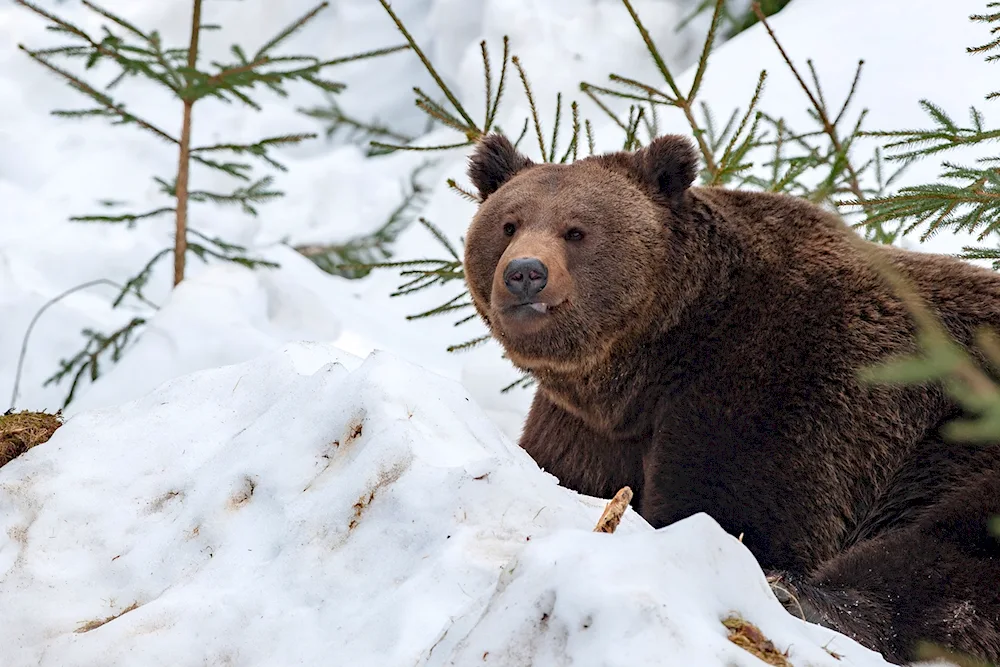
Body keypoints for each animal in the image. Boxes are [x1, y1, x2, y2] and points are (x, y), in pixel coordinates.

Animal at [464, 130, 1000, 664]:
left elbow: (739, 511)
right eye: (508, 225)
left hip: (961, 430)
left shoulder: (776, 382)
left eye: (576, 231)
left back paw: (807, 599)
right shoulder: (587, 428)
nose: (525, 273)